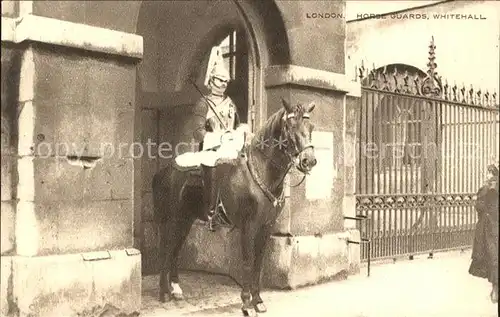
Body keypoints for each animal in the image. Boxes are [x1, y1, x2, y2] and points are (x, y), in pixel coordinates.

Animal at [151, 97, 316, 314]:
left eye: (311, 126)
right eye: (290, 126)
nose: (309, 161)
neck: (261, 170)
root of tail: (164, 171)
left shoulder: (266, 227)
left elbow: (258, 264)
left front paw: (258, 300)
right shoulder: (248, 226)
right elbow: (247, 262)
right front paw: (246, 303)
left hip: (185, 220)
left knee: (175, 251)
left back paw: (176, 289)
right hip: (171, 220)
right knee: (166, 250)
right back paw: (163, 292)